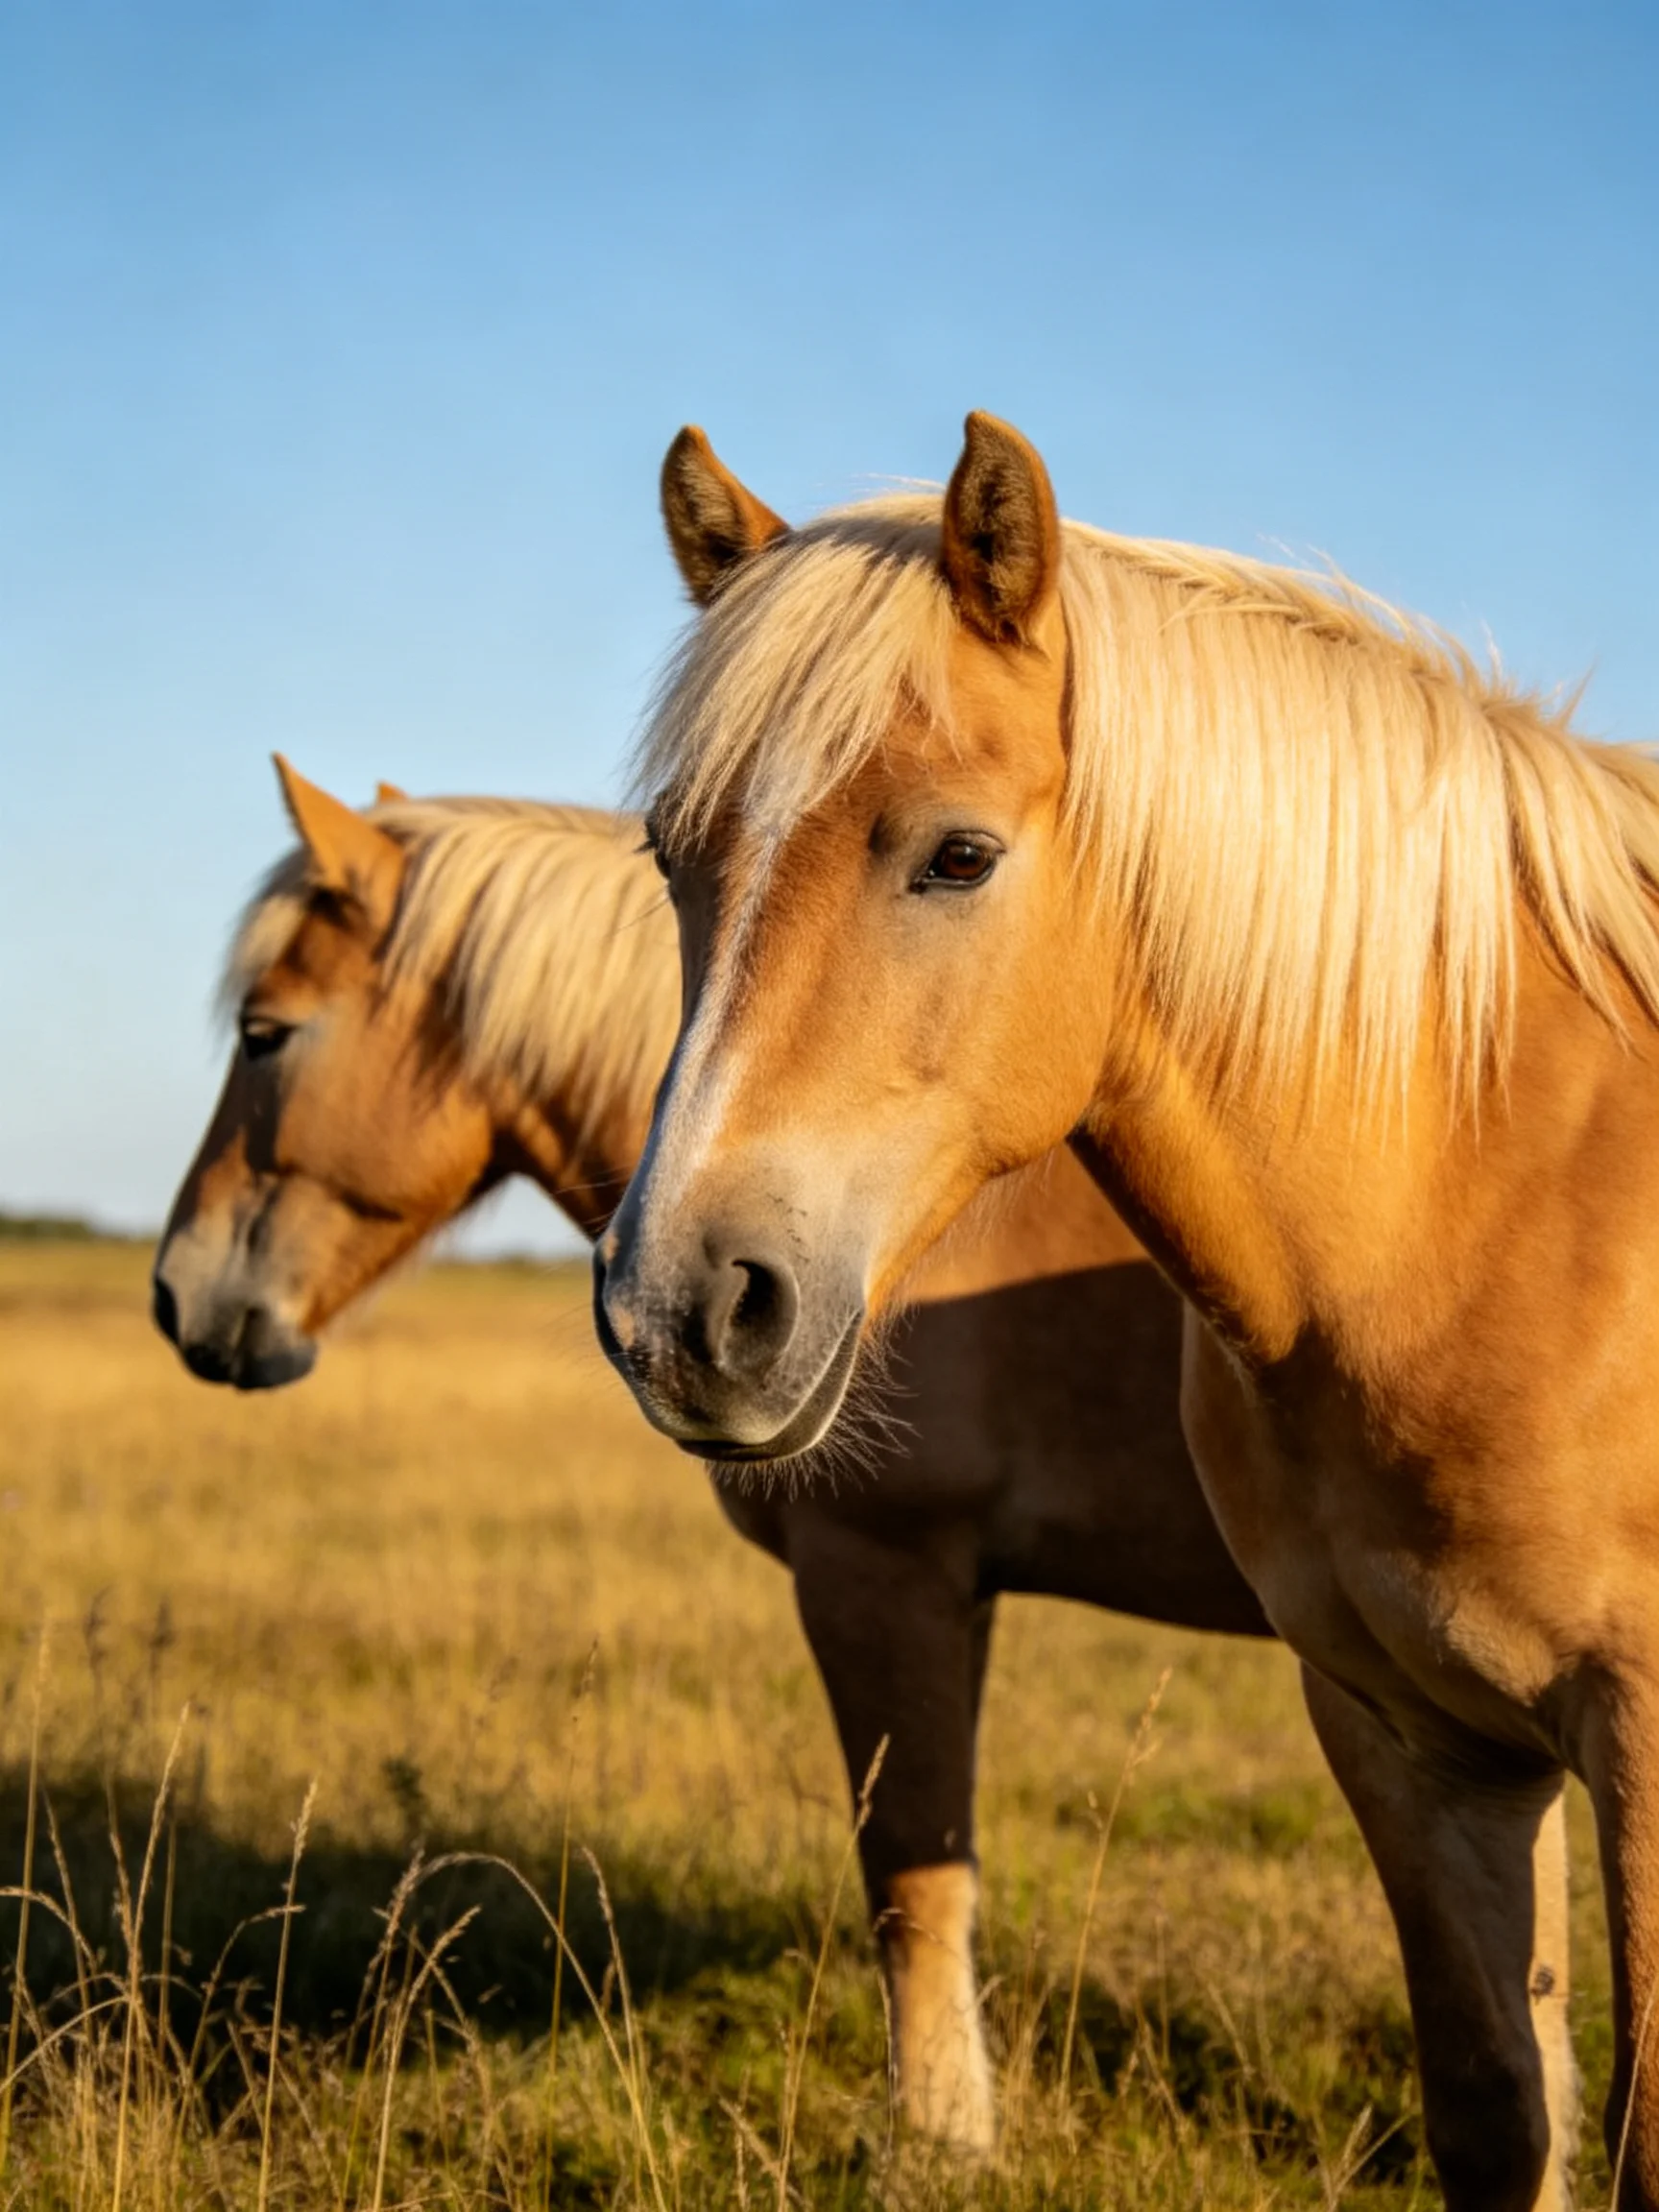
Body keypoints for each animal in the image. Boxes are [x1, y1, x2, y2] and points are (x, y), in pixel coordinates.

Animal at [153, 759, 1273, 2148]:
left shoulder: (879, 1570)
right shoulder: (953, 1591)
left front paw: (941, 2137)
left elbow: (910, 1871)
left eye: (266, 1033)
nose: (178, 1297)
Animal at [595, 414, 1659, 2209]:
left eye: (957, 854)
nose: (685, 1305)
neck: (1507, 1195)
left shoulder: (1641, 1743)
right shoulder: (1411, 1735)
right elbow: (1495, 2111)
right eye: (677, 861)